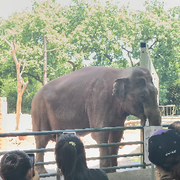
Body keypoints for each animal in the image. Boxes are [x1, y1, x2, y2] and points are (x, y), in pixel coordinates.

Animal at [30, 66, 161, 174]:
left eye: (157, 93)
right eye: (142, 96)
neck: (120, 72)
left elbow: (116, 135)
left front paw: (113, 171)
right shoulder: (99, 100)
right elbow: (100, 134)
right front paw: (106, 171)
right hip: (39, 110)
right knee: (41, 139)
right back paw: (42, 172)